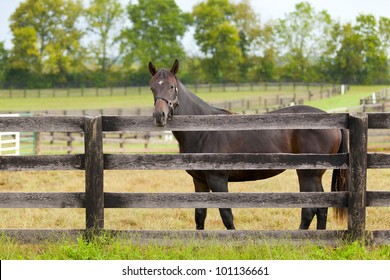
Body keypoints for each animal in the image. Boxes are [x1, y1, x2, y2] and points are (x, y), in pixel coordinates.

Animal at [149, 59, 348, 230]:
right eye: (152, 88)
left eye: (172, 86)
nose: (159, 116)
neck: (203, 130)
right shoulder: (199, 181)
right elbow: (199, 215)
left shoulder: (218, 180)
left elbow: (226, 215)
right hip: (315, 176)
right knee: (321, 208)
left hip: (307, 175)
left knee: (309, 210)